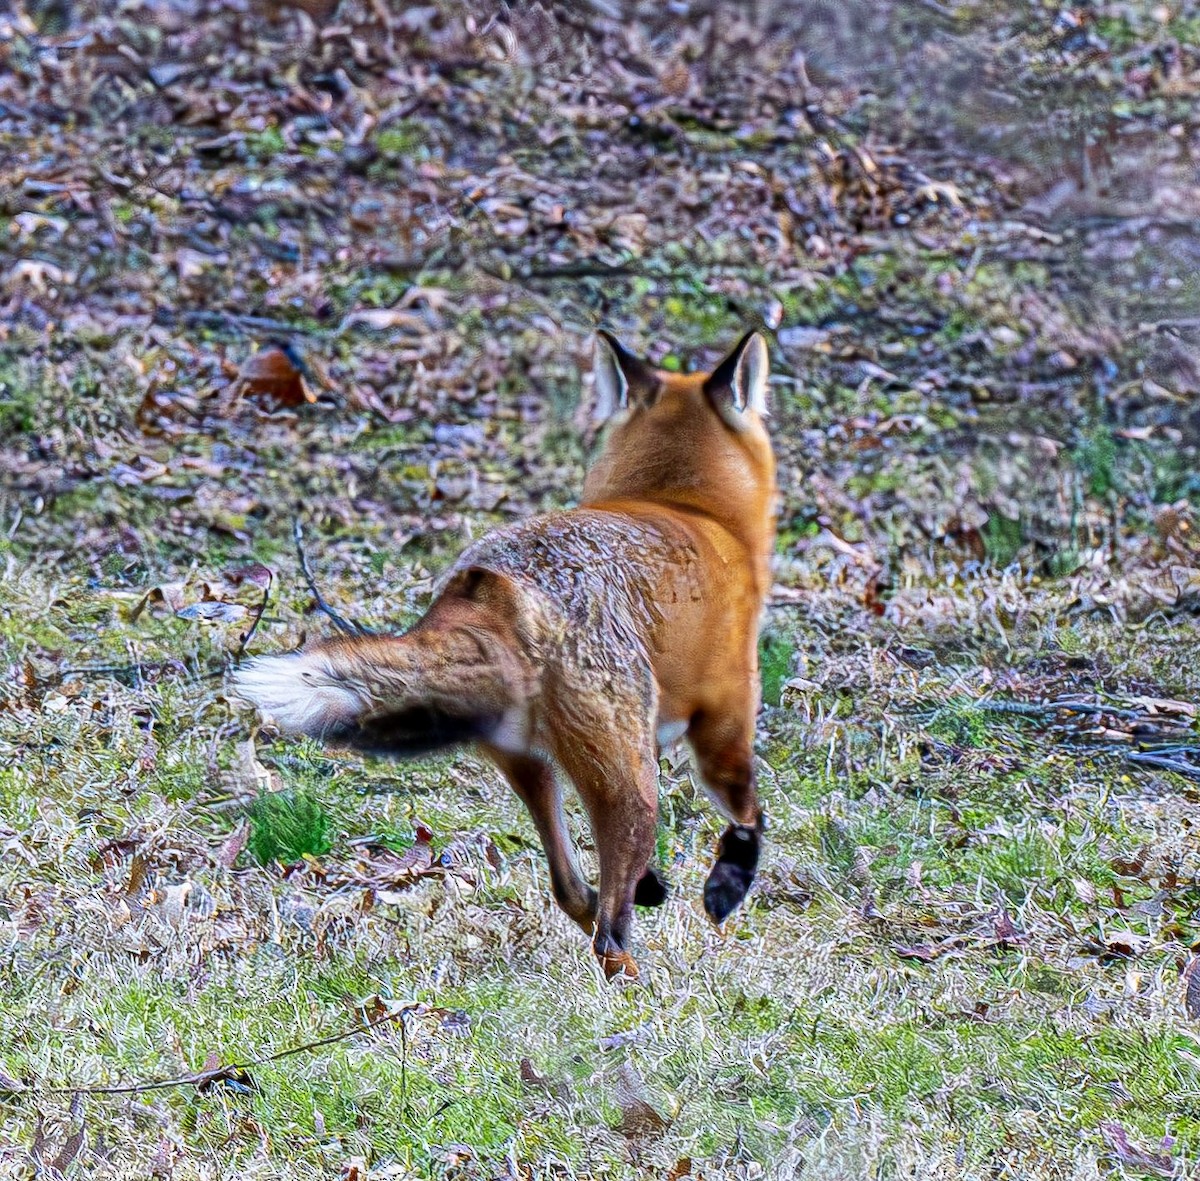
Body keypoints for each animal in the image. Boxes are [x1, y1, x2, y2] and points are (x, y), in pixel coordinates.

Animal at [233, 328, 777, 979]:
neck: (685, 506)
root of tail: (486, 582)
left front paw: (663, 884)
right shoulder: (727, 711)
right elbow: (747, 813)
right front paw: (727, 886)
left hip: (531, 765)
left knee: (571, 890)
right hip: (629, 783)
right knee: (608, 929)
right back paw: (639, 985)